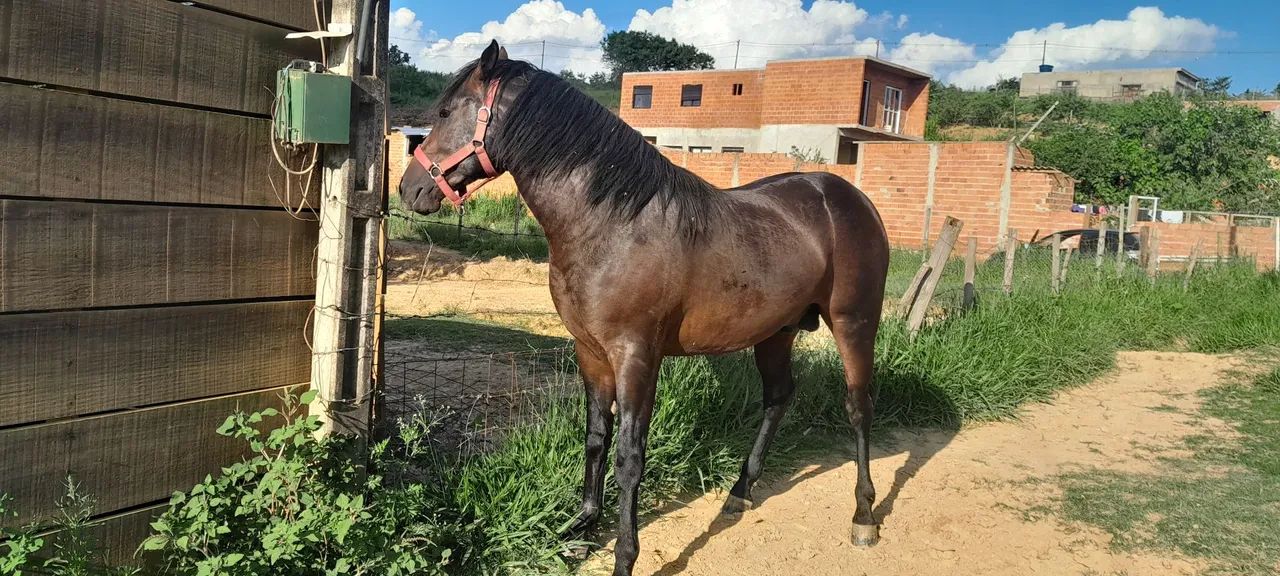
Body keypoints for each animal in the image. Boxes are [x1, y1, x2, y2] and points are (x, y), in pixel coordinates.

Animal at [398, 41, 890, 575]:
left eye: (446, 112)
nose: (408, 188)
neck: (615, 224)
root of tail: (850, 196)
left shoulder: (636, 357)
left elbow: (629, 458)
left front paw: (623, 556)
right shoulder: (590, 353)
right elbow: (596, 438)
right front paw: (580, 528)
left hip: (854, 325)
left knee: (859, 407)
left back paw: (864, 514)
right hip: (775, 332)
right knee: (778, 397)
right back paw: (740, 492)